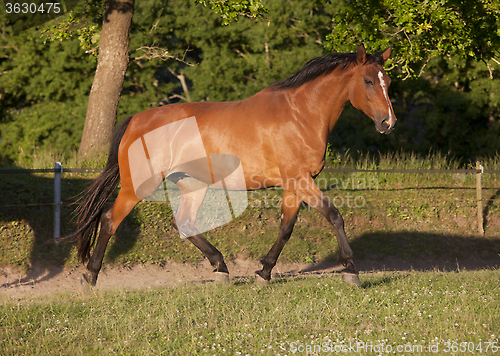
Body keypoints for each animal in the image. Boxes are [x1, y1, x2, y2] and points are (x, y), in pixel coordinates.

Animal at [72, 43, 396, 286]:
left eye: (388, 82)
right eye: (368, 81)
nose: (388, 123)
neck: (300, 114)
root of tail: (136, 120)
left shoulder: (295, 184)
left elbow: (286, 228)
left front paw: (264, 272)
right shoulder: (301, 180)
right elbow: (334, 215)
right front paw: (351, 270)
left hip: (192, 184)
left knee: (185, 222)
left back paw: (221, 268)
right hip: (137, 186)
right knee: (109, 220)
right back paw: (90, 277)